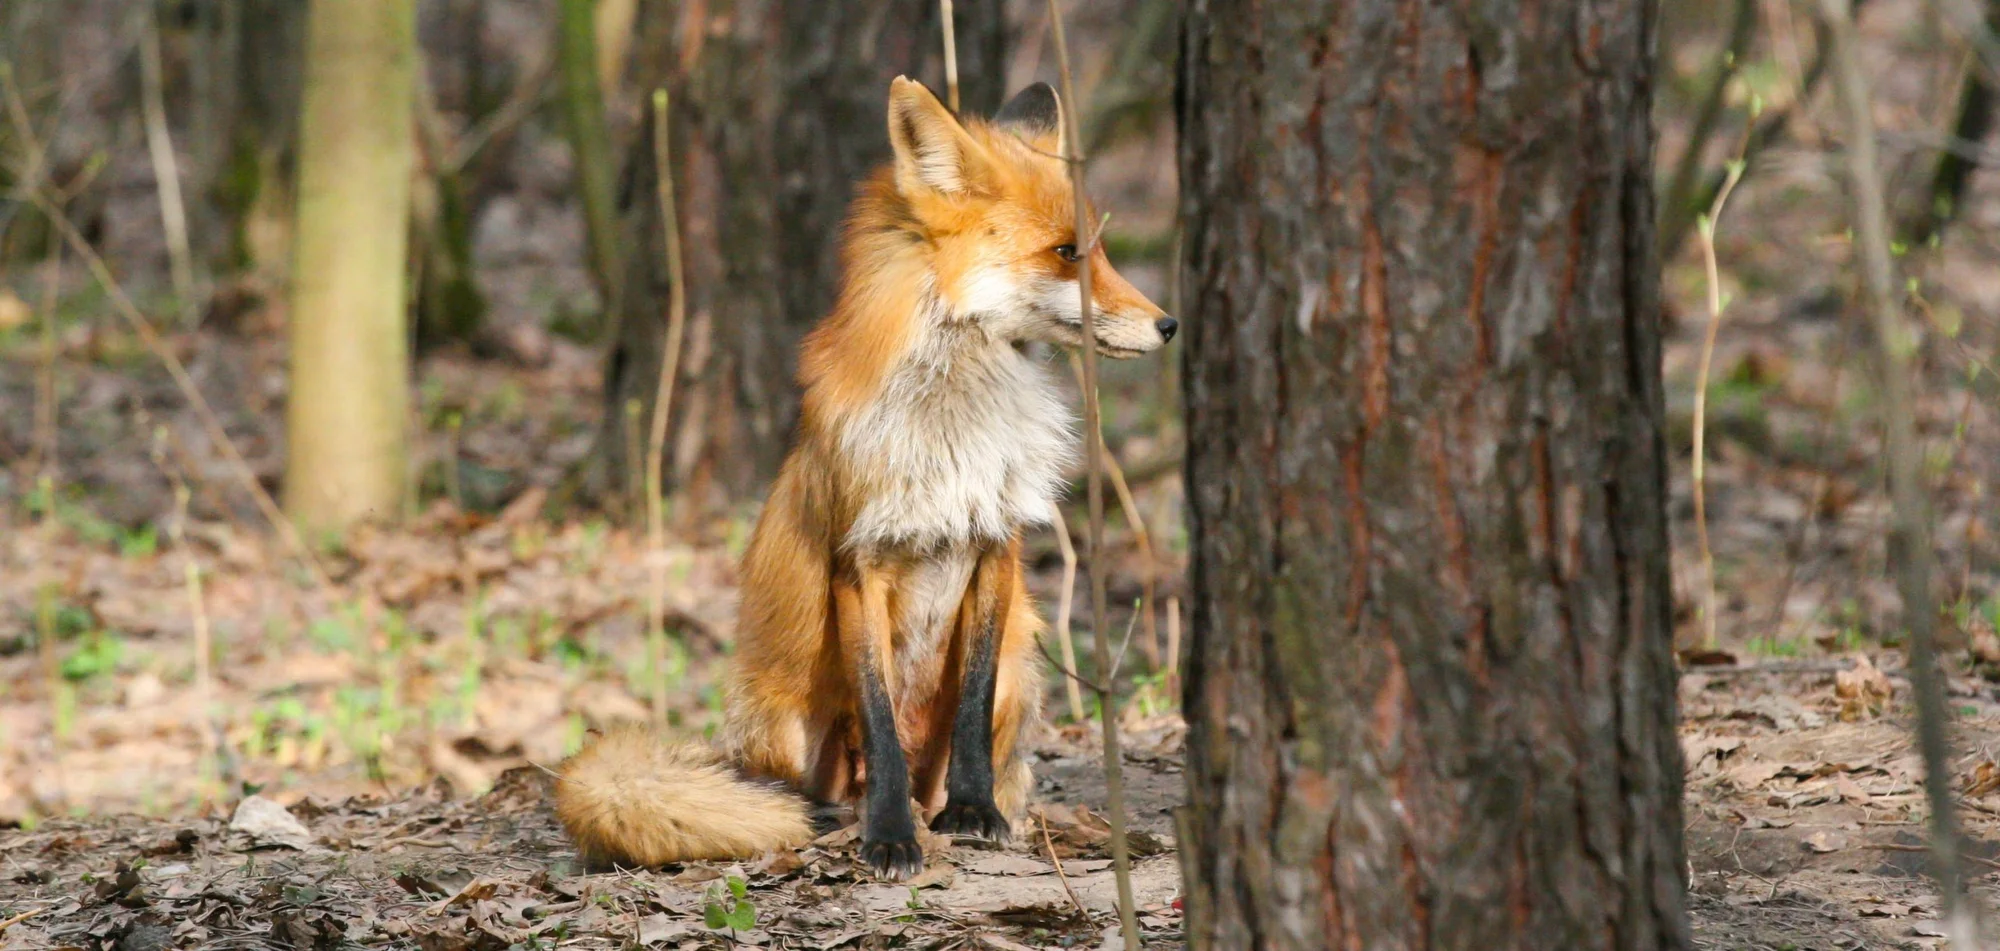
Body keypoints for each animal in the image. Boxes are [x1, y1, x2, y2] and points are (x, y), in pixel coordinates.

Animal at [552, 77, 1168, 879]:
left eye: (1100, 248)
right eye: (1067, 253)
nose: (1169, 325)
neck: (954, 423)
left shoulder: (994, 545)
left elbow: (970, 709)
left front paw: (973, 811)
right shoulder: (858, 560)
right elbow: (877, 720)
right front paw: (891, 835)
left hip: (1021, 663)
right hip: (783, 721)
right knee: (796, 787)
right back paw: (828, 815)